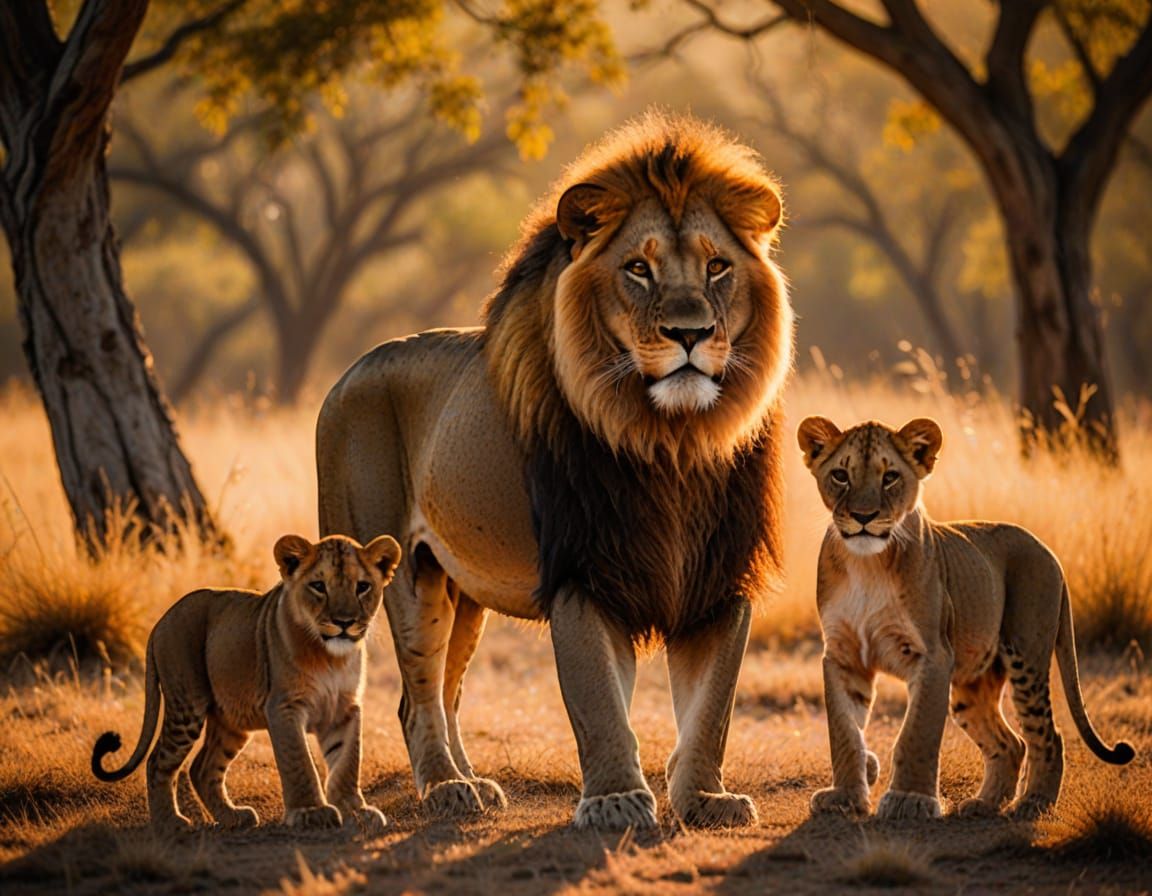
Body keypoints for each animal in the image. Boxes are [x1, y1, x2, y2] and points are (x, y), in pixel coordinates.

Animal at [91, 533, 402, 833]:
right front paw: (311, 812)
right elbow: (299, 761)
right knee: (158, 761)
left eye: (362, 587)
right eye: (318, 586)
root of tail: (160, 621)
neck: (331, 658)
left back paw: (233, 817)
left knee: (202, 768)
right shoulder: (283, 706)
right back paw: (170, 823)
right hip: (186, 704)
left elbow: (347, 761)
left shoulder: (345, 708)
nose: (344, 622)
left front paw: (355, 811)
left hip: (231, 721)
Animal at [316, 112, 792, 829]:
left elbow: (713, 707)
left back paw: (473, 782)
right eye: (638, 269)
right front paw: (616, 799)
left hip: (462, 592)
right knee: (417, 695)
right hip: (395, 570)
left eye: (717, 267)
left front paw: (705, 799)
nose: (690, 333)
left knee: (442, 693)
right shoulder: (583, 570)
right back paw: (446, 787)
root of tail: (346, 374)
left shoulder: (719, 578)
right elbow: (599, 700)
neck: (673, 443)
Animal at [797, 416, 1135, 820]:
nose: (864, 517)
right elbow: (844, 732)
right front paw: (845, 796)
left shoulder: (933, 655)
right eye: (841, 475)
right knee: (1011, 743)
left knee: (1047, 736)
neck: (867, 564)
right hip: (973, 683)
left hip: (1026, 655)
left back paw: (1033, 804)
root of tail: (1048, 551)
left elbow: (917, 733)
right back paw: (984, 804)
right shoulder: (842, 655)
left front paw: (910, 799)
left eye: (890, 476)